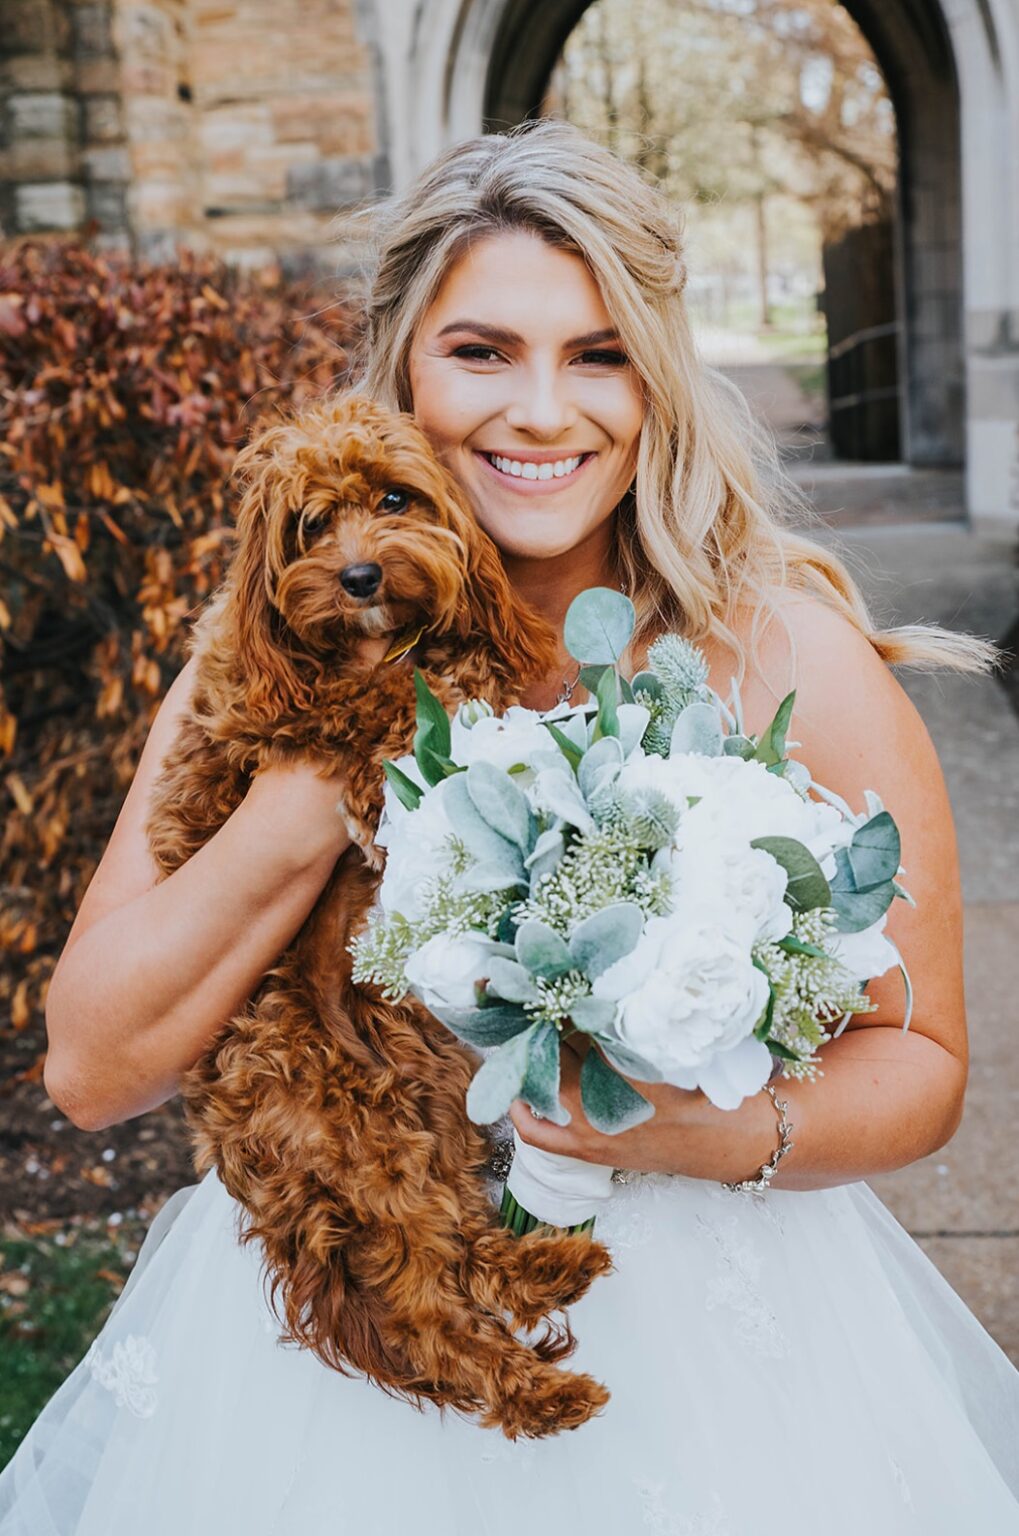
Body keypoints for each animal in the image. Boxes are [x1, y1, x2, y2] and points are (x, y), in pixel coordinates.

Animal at [145, 393, 614, 1437]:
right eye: (312, 524)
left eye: (396, 499)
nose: (360, 575)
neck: (375, 637)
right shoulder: (266, 717)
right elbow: (377, 701)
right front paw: (413, 720)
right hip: (354, 1137)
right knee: (426, 1309)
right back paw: (543, 1392)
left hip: (428, 1108)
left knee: (459, 1248)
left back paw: (545, 1264)